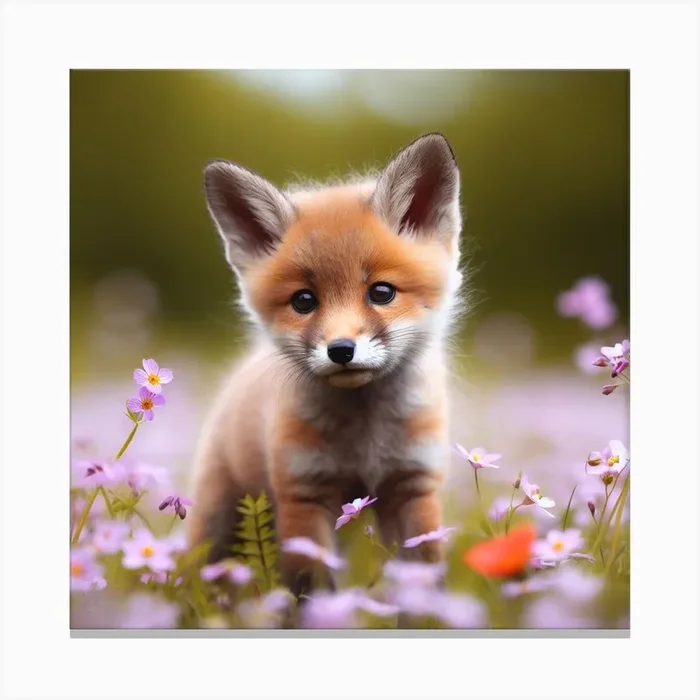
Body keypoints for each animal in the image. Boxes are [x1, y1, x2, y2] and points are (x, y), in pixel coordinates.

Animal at [188, 133, 466, 596]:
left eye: (382, 292)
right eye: (304, 300)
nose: (341, 350)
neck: (365, 439)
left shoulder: (413, 486)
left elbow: (422, 583)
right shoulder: (305, 494)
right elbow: (312, 590)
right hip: (219, 518)